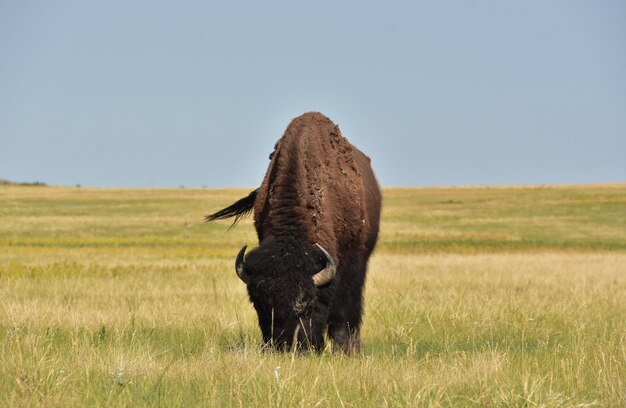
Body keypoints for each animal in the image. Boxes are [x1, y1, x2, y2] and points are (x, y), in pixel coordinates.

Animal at [206, 112, 380, 354]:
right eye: (259, 304)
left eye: (306, 304)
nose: (285, 346)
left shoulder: (352, 261)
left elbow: (345, 306)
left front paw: (345, 348)